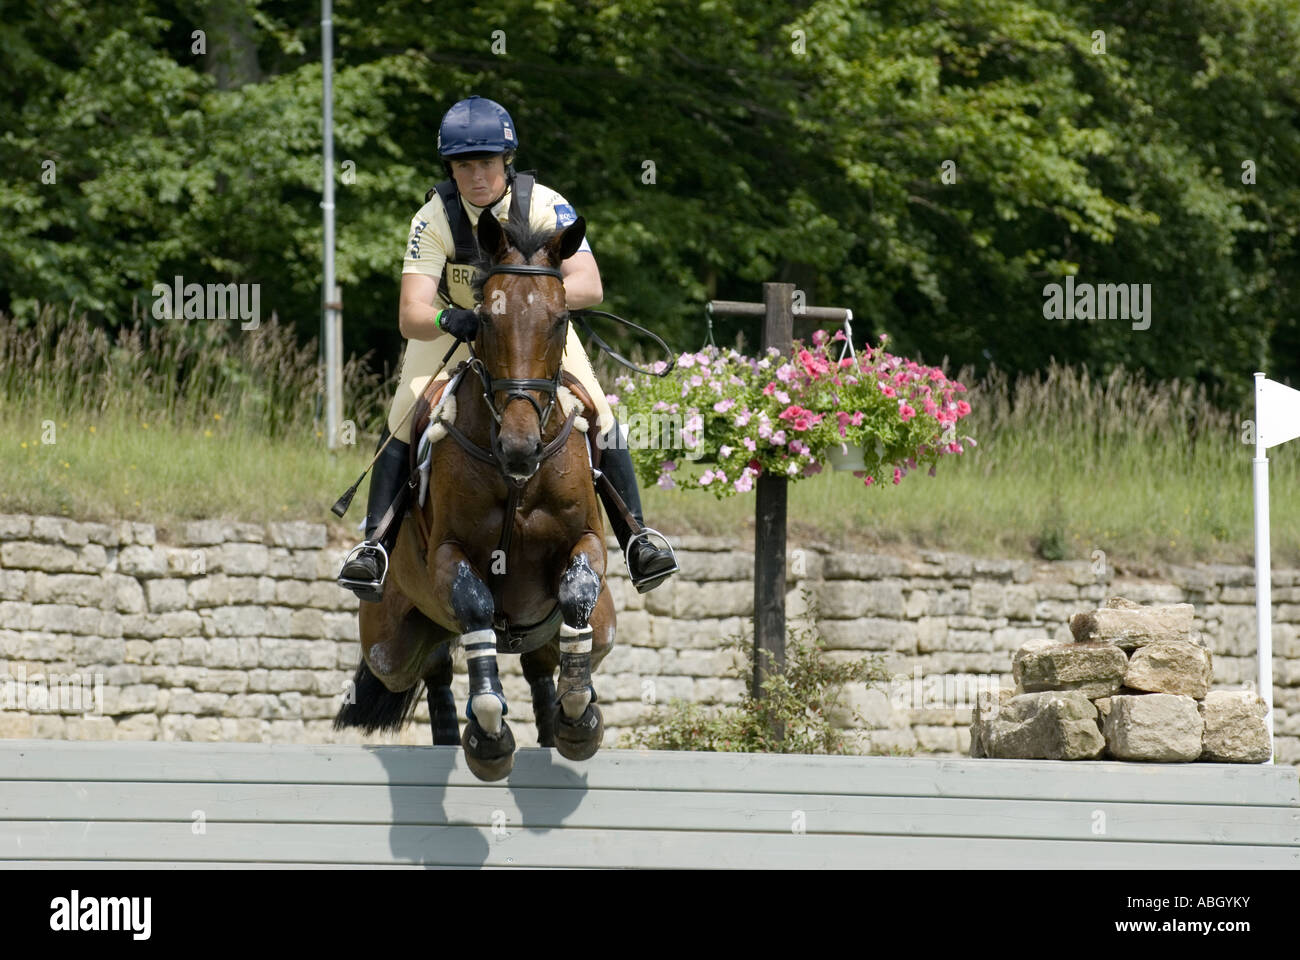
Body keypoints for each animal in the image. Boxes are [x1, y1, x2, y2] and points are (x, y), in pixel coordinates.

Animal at [335, 208, 618, 780]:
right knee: (434, 668)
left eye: (561, 320)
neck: (515, 477)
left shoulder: (586, 542)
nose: (519, 447)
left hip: (589, 628)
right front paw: (488, 731)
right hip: (388, 645)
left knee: (545, 661)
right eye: (484, 320)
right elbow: (475, 604)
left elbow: (576, 591)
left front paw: (579, 715)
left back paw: (559, 722)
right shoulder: (448, 554)